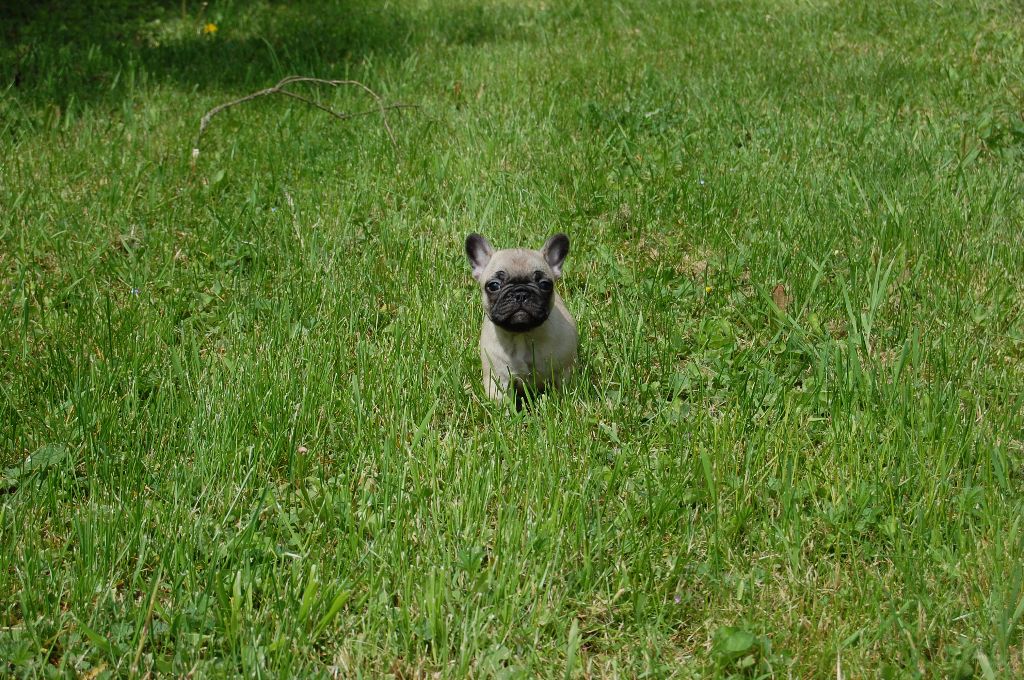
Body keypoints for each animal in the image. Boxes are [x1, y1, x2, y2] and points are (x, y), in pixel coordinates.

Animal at [465, 233, 578, 402]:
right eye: (494, 285)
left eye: (545, 284)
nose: (520, 293)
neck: (522, 336)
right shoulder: (498, 380)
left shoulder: (563, 371)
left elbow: (562, 392)